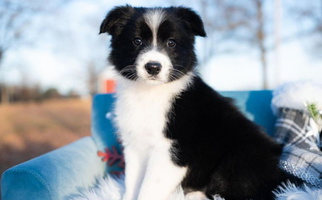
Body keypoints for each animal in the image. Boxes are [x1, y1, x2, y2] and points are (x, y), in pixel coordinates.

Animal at [100, 5, 286, 200]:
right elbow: (132, 184)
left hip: (238, 162)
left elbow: (148, 190)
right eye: (137, 41)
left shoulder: (170, 154)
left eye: (171, 43)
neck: (150, 92)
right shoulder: (134, 146)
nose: (153, 67)